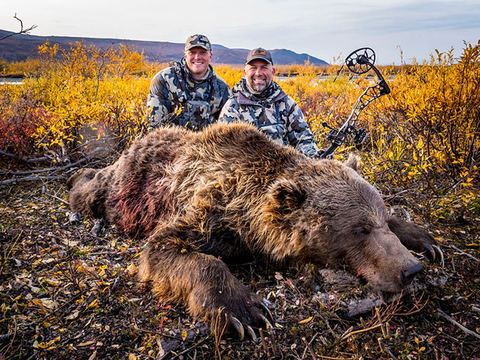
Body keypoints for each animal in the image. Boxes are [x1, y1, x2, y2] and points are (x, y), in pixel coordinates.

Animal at [68, 122, 442, 338]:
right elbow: (166, 248)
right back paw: (77, 177)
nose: (410, 269)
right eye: (359, 229)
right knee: (92, 190)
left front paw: (424, 239)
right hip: (125, 185)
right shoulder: (211, 212)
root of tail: (139, 140)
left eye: (378, 220)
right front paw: (244, 309)